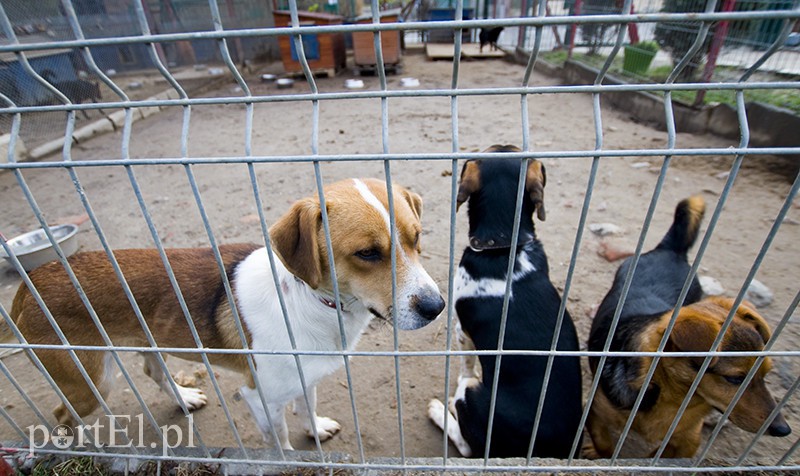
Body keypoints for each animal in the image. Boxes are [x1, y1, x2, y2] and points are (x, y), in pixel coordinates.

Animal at [1, 178, 444, 450]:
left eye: (417, 238)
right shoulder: (260, 397)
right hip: (92, 383)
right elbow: (280, 438)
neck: (309, 302)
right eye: (367, 253)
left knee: (153, 371)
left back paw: (183, 399)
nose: (437, 307)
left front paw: (315, 429)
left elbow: (306, 407)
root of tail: (28, 284)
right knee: (62, 414)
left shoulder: (306, 377)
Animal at [424, 145, 580, 458]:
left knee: (466, 445)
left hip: (472, 394)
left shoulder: (462, 331)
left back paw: (439, 410)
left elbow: (466, 364)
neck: (504, 247)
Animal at [584, 193, 792, 458]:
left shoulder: (689, 437)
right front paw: (596, 451)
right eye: (735, 379)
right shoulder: (596, 411)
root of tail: (669, 250)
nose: (783, 429)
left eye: (766, 374)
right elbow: (604, 443)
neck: (670, 396)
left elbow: (664, 454)